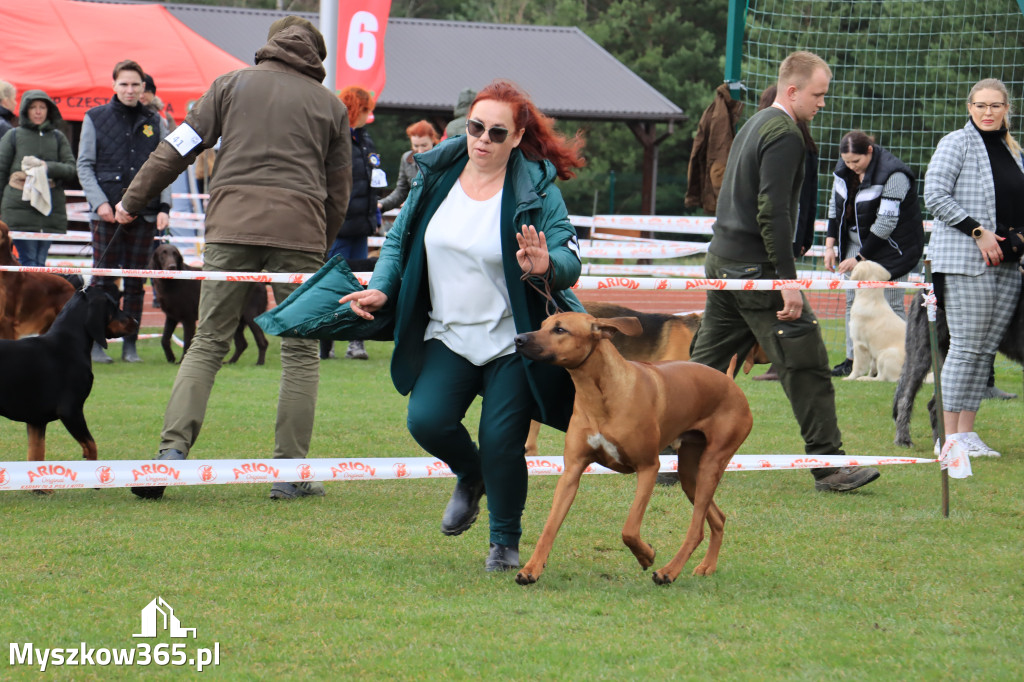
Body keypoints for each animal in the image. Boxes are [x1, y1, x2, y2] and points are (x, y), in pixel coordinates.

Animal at [0, 284, 137, 464]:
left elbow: (36, 456)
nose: (136, 322)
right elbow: (92, 447)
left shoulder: (36, 421)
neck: (69, 343)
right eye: (114, 306)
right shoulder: (71, 410)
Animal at [512, 311, 753, 581]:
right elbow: (549, 527)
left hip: (713, 462)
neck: (600, 393)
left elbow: (629, 529)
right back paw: (707, 565)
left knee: (697, 529)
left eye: (560, 330)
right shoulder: (572, 471)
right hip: (690, 474)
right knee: (718, 517)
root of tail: (730, 381)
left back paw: (669, 571)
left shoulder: (648, 467)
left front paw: (646, 555)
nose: (518, 339)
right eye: (542, 325)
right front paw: (531, 569)